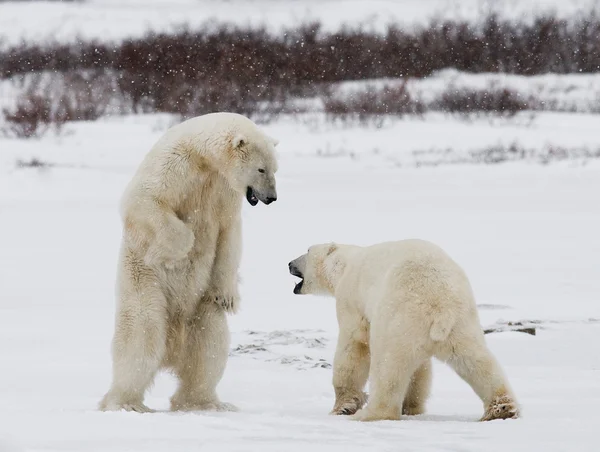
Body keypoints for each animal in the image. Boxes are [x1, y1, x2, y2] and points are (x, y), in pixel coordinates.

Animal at [99, 112, 280, 414]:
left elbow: (229, 234)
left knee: (210, 342)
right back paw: (126, 403)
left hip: (200, 303)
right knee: (141, 335)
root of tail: (173, 345)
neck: (203, 157)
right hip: (144, 284)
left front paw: (228, 296)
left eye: (275, 168)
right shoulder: (175, 165)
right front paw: (178, 251)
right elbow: (145, 199)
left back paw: (206, 403)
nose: (272, 198)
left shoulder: (224, 191)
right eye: (261, 169)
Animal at [288, 238, 516, 422]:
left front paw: (342, 407)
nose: (289, 263)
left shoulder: (351, 300)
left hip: (399, 317)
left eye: (307, 250)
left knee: (387, 366)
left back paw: (371, 413)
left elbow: (354, 347)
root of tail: (440, 305)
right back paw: (502, 408)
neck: (344, 265)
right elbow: (420, 371)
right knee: (477, 361)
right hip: (461, 323)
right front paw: (412, 407)